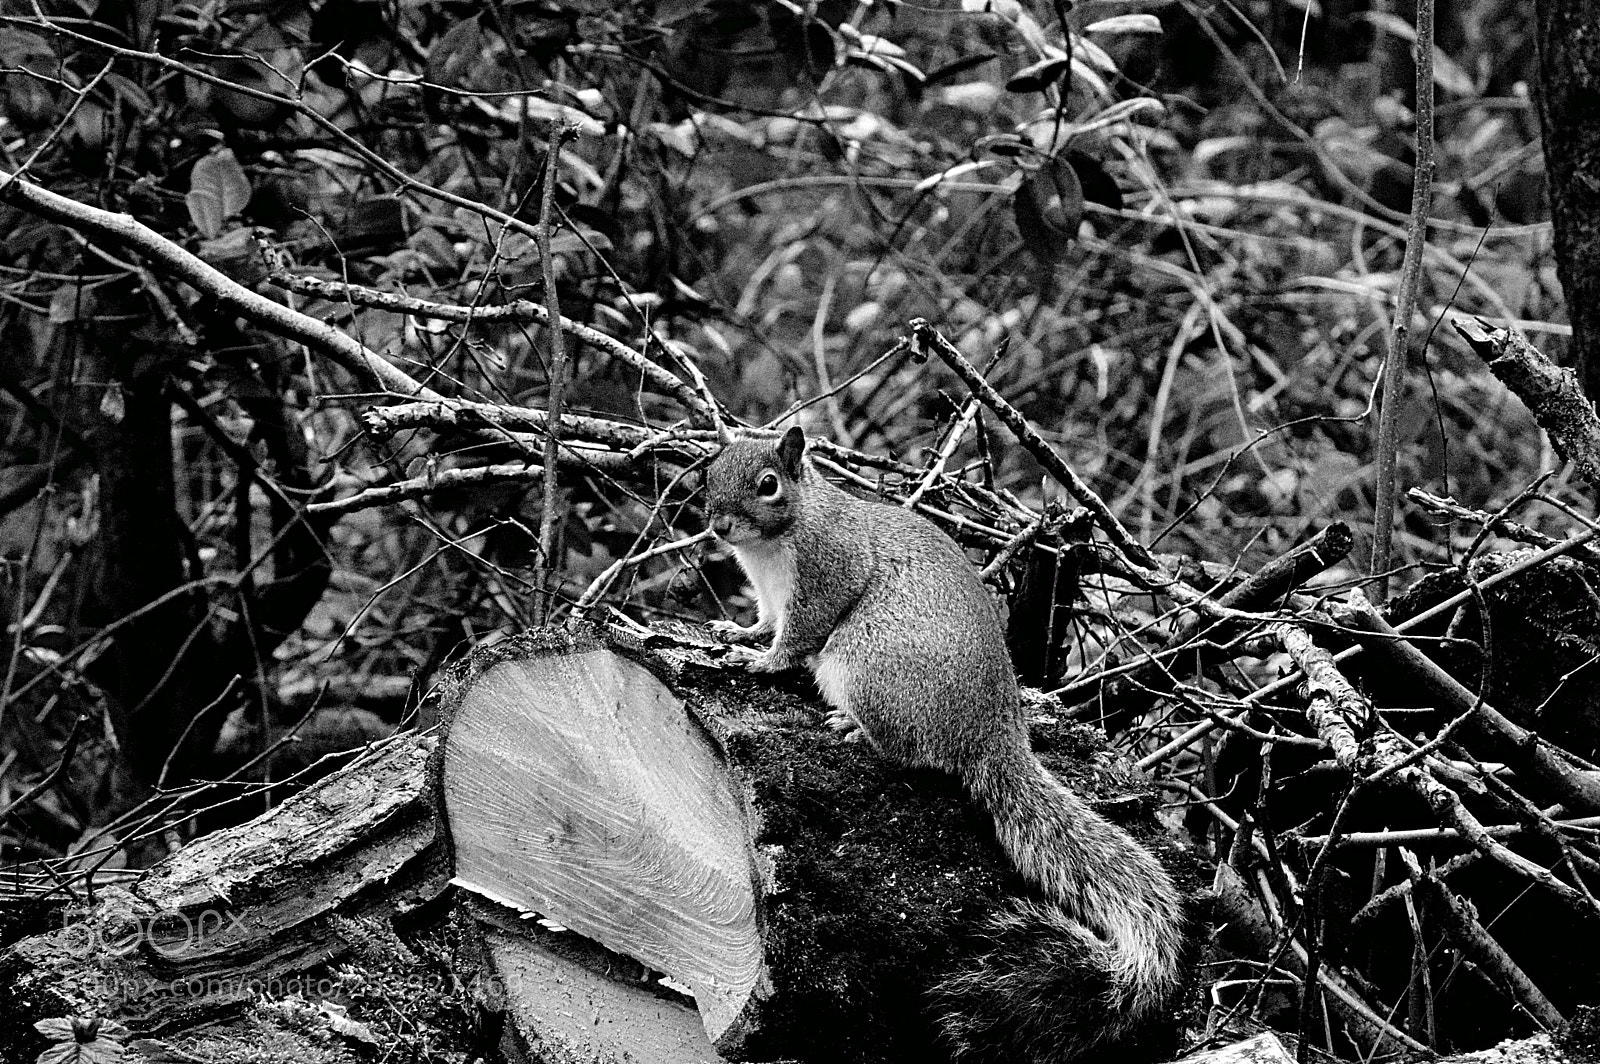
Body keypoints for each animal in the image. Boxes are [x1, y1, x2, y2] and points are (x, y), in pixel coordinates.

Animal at [703, 426, 1185, 1063]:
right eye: (711, 469)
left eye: (767, 484)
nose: (717, 525)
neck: (775, 543)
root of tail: (994, 730)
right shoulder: (766, 593)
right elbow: (762, 619)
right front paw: (737, 631)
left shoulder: (824, 579)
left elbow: (795, 637)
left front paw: (759, 661)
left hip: (866, 663)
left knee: (913, 750)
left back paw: (856, 730)